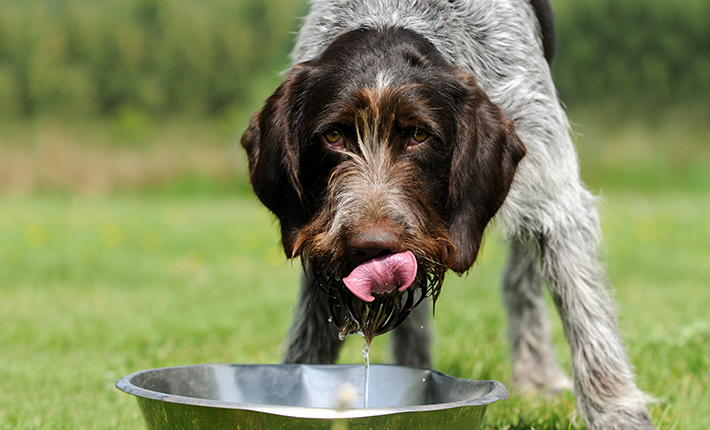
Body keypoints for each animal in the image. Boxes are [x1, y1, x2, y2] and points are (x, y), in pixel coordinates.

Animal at [243, 0, 656, 426]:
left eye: (419, 135)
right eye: (333, 135)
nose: (372, 247)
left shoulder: (554, 195)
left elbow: (589, 320)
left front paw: (618, 415)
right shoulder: (322, 241)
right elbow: (313, 331)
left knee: (520, 282)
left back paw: (537, 374)